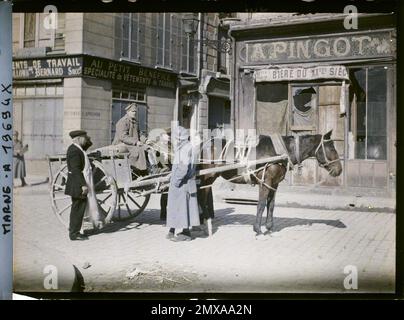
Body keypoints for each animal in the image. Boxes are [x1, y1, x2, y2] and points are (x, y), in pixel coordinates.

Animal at [197, 129, 342, 236]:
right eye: (332, 148)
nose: (339, 169)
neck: (280, 152)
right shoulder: (265, 181)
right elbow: (261, 204)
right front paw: (258, 229)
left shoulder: (274, 183)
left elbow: (271, 205)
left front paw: (269, 227)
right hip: (207, 177)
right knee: (202, 198)